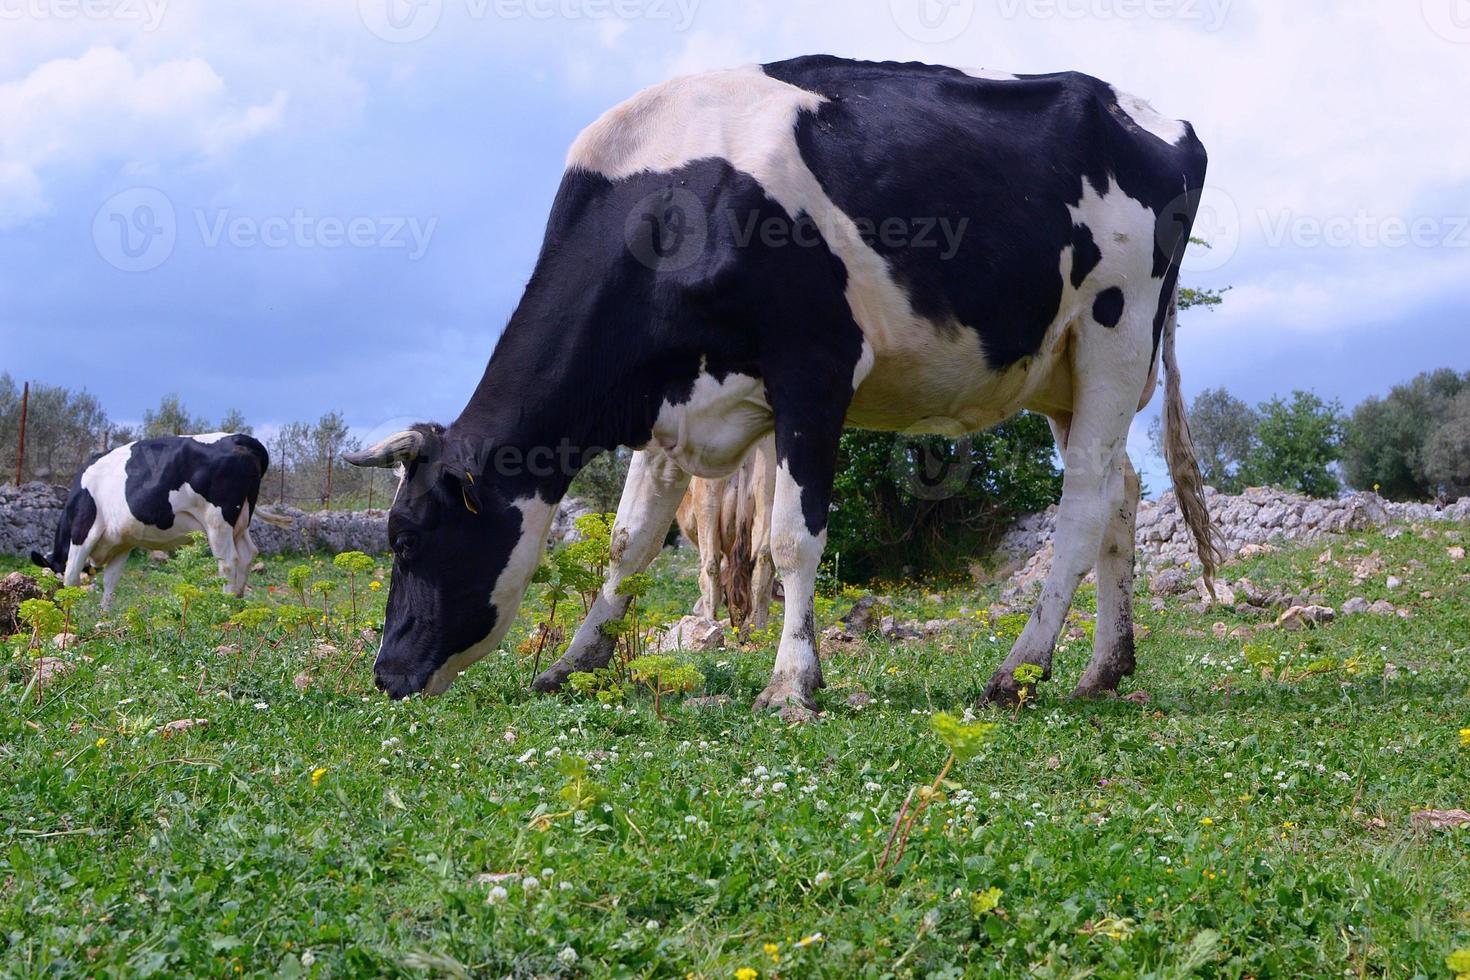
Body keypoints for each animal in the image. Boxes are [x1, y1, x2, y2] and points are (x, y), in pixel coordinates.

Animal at [30, 434, 277, 608]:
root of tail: (240, 438)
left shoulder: (82, 530)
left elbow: (71, 577)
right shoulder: (121, 543)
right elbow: (110, 582)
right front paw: (104, 615)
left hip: (218, 521)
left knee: (228, 562)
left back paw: (225, 606)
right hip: (241, 520)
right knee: (247, 554)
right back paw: (238, 604)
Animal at [673, 434, 776, 628]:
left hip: (707, 502)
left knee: (710, 568)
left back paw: (711, 623)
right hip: (768, 496)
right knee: (763, 561)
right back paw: (757, 629)